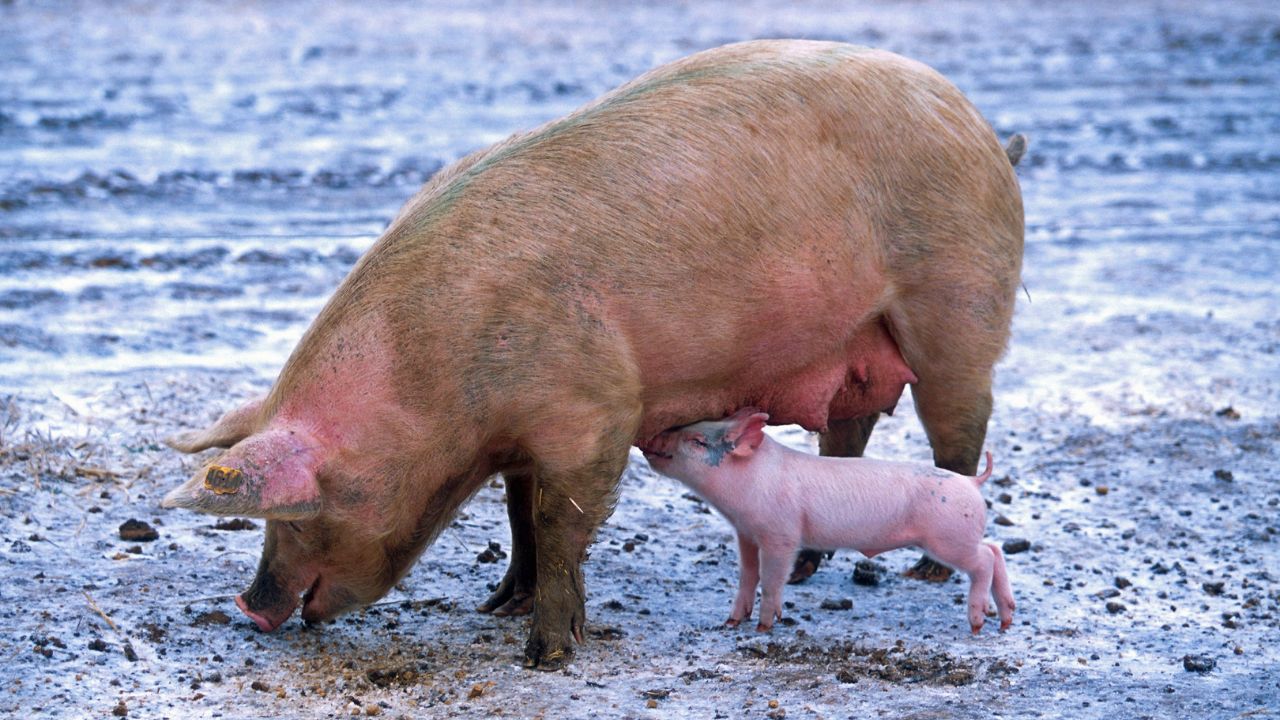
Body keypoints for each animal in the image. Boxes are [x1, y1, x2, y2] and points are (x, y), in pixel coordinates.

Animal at [641, 408, 1015, 634]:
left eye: (697, 441)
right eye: (688, 427)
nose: (651, 439)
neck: (750, 481)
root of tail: (973, 482)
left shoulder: (781, 534)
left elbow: (772, 579)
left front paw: (764, 628)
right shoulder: (746, 533)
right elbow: (747, 575)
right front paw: (731, 622)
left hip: (948, 538)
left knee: (984, 559)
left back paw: (978, 623)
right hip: (959, 536)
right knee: (995, 549)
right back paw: (1005, 620)